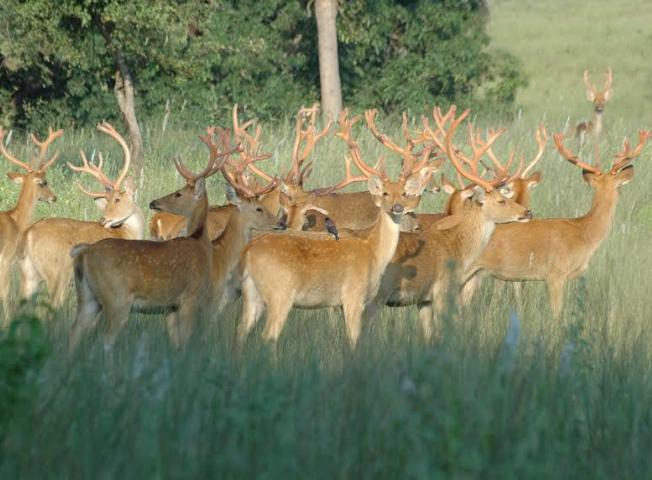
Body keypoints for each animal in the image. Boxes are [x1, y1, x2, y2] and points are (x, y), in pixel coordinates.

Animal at [17, 123, 145, 308]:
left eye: (117, 199)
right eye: (109, 201)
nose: (103, 220)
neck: (127, 234)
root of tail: (29, 233)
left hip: (28, 273)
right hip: (57, 274)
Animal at [67, 129, 239, 350]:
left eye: (178, 194)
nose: (154, 202)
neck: (201, 243)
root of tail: (83, 255)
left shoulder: (171, 307)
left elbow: (176, 342)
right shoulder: (189, 297)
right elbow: (186, 340)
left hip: (88, 299)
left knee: (74, 333)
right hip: (117, 299)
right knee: (105, 340)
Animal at [236, 110, 438, 346]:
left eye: (404, 194)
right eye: (385, 193)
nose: (401, 210)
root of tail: (247, 253)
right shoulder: (353, 297)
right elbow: (354, 337)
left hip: (254, 297)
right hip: (280, 294)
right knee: (268, 335)